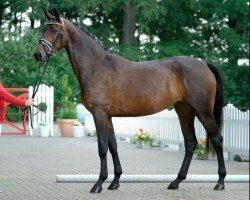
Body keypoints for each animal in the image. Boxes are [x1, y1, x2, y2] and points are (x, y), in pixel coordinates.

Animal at [33, 8, 227, 193]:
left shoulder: (99, 114)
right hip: (184, 110)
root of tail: (204, 65)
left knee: (217, 139)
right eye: (43, 29)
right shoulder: (108, 116)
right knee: (190, 142)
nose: (38, 55)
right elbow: (113, 145)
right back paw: (176, 181)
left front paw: (99, 183)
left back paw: (220, 181)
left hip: (203, 111)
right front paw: (115, 181)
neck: (96, 66)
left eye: (55, 30)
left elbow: (102, 147)